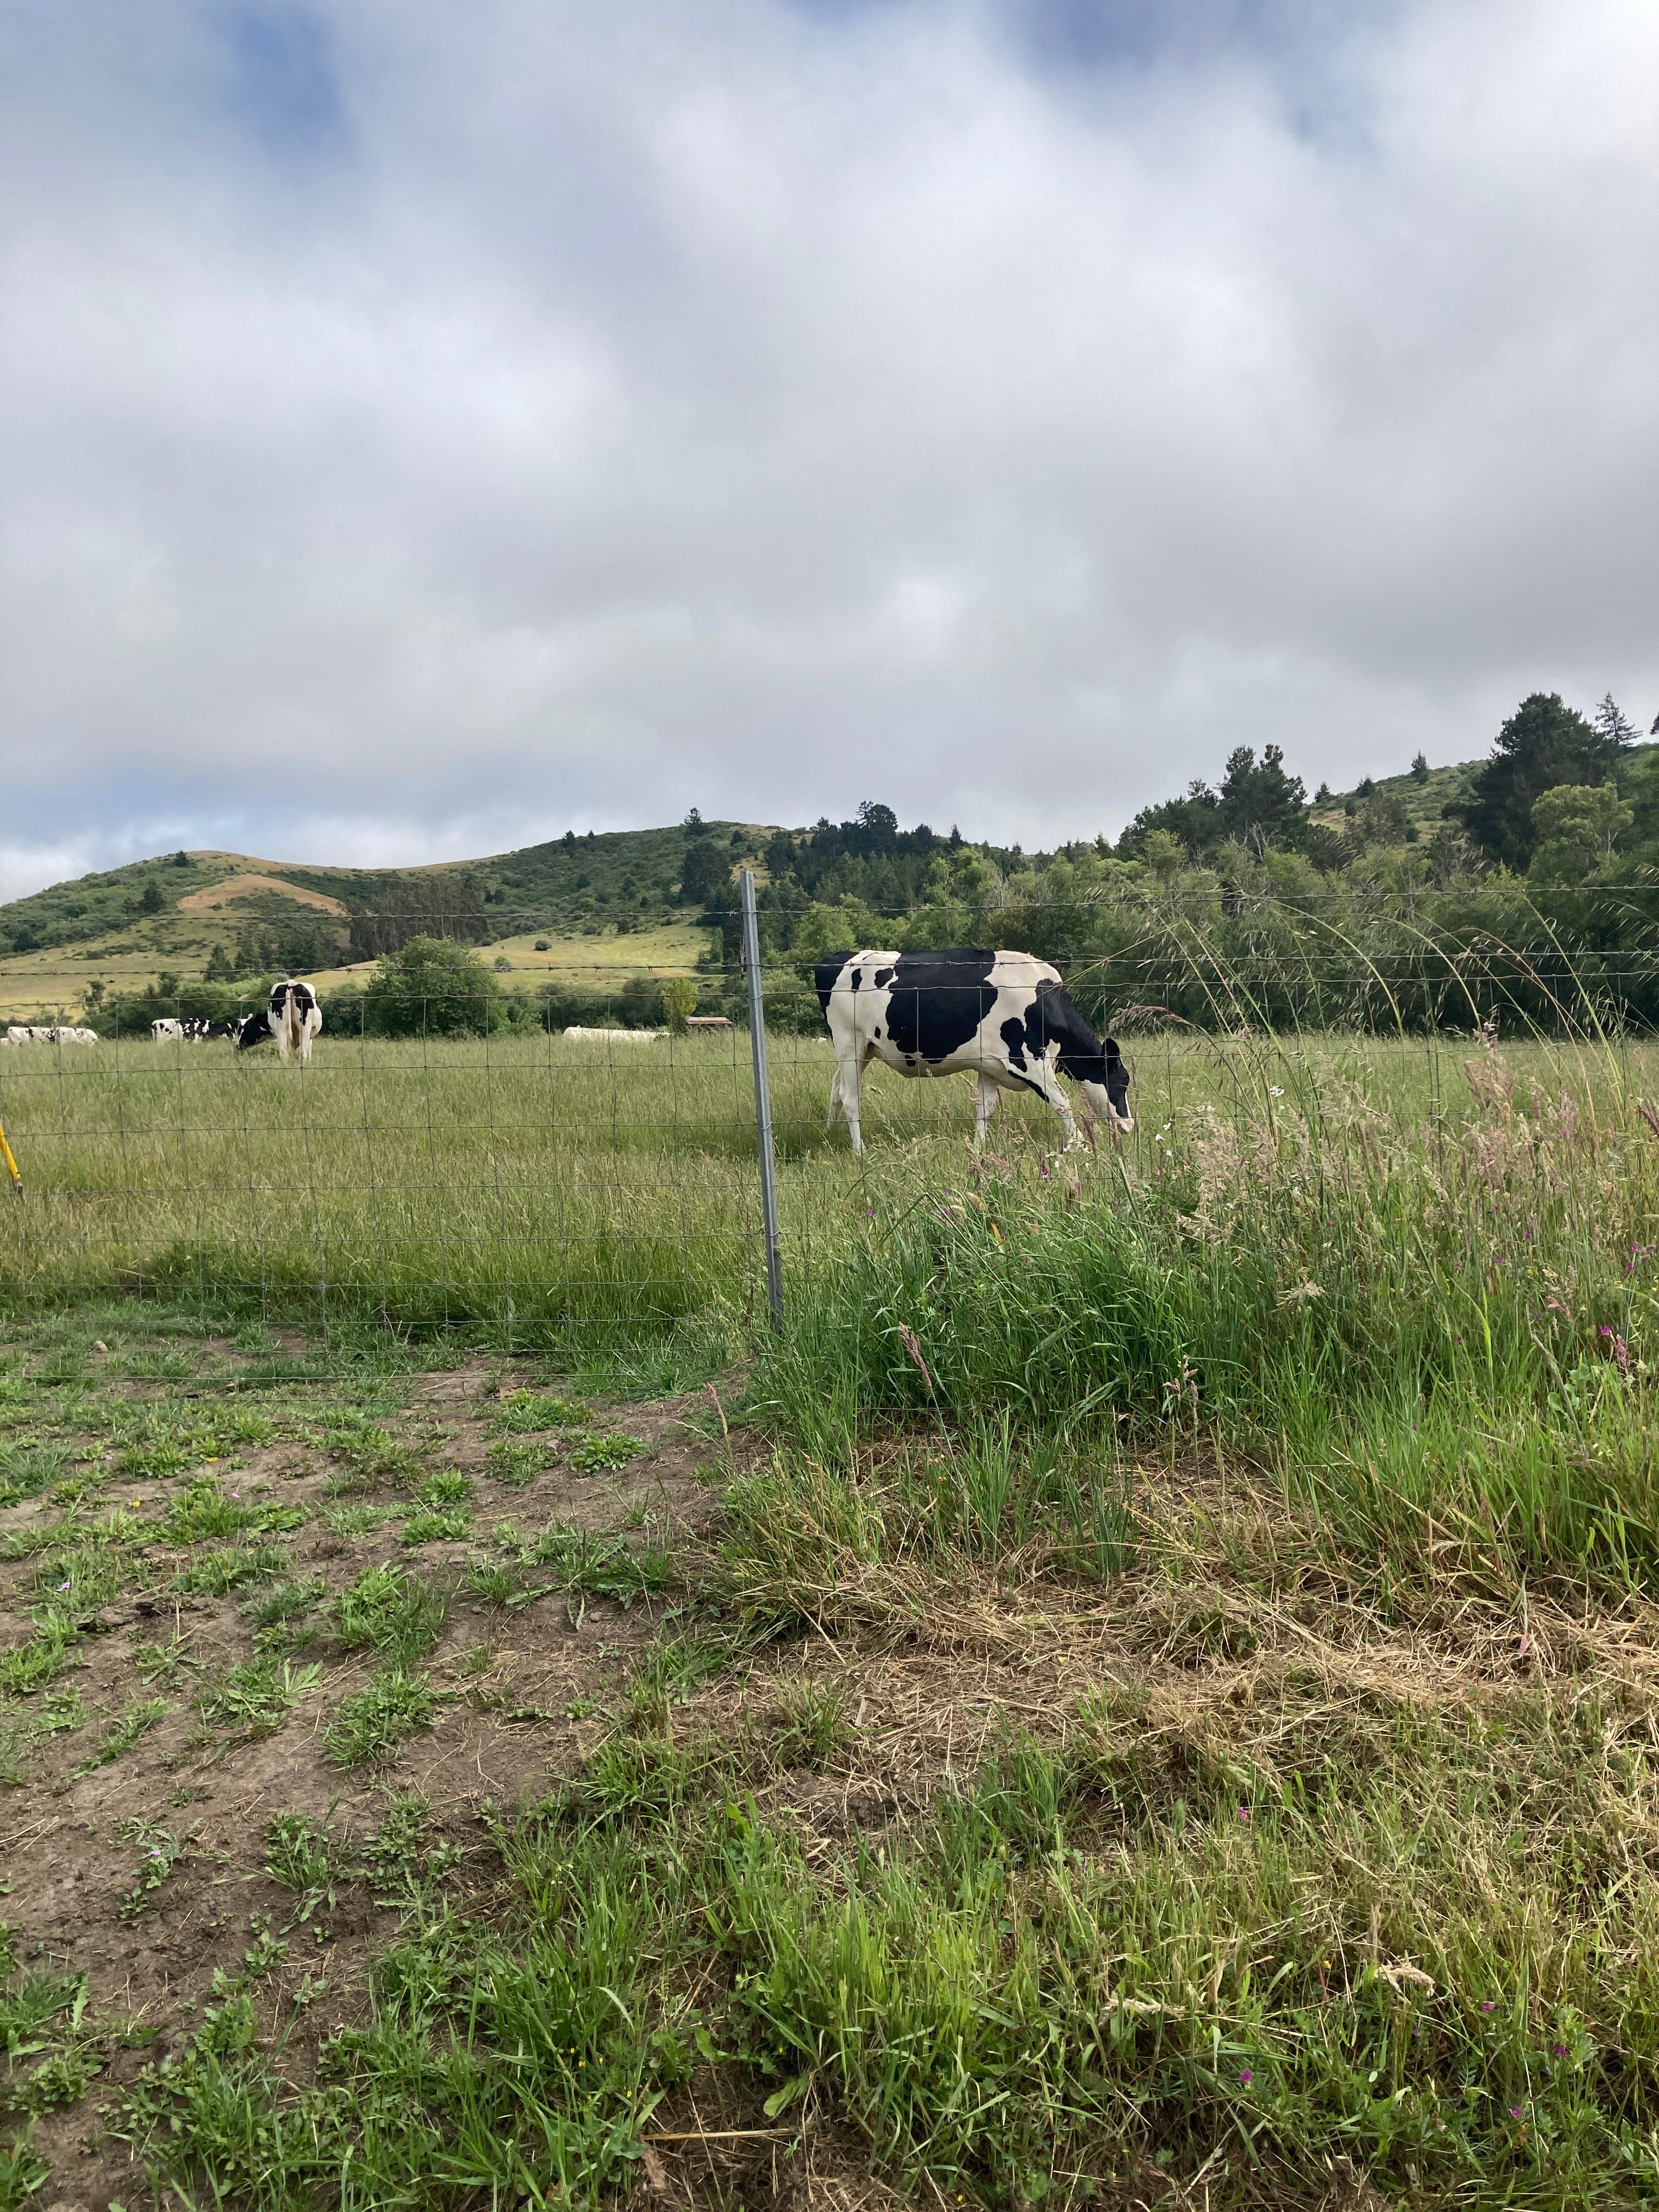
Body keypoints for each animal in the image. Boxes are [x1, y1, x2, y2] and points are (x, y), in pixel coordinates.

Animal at [815, 948, 1132, 1155]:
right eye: (1123, 1081)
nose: (1129, 1125)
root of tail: (836, 959)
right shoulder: (1028, 1061)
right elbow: (1062, 1103)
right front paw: (1081, 1145)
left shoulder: (990, 1064)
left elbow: (985, 1107)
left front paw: (979, 1149)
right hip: (849, 1041)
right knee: (851, 1097)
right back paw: (859, 1151)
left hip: (864, 1049)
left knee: (836, 1087)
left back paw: (829, 1133)